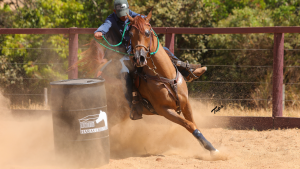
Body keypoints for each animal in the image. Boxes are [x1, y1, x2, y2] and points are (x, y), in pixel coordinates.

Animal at [125, 10, 219, 154]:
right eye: (130, 34)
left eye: (147, 33)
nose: (139, 58)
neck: (165, 77)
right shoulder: (164, 110)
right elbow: (189, 125)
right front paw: (211, 148)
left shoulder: (185, 103)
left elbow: (194, 123)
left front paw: (208, 146)